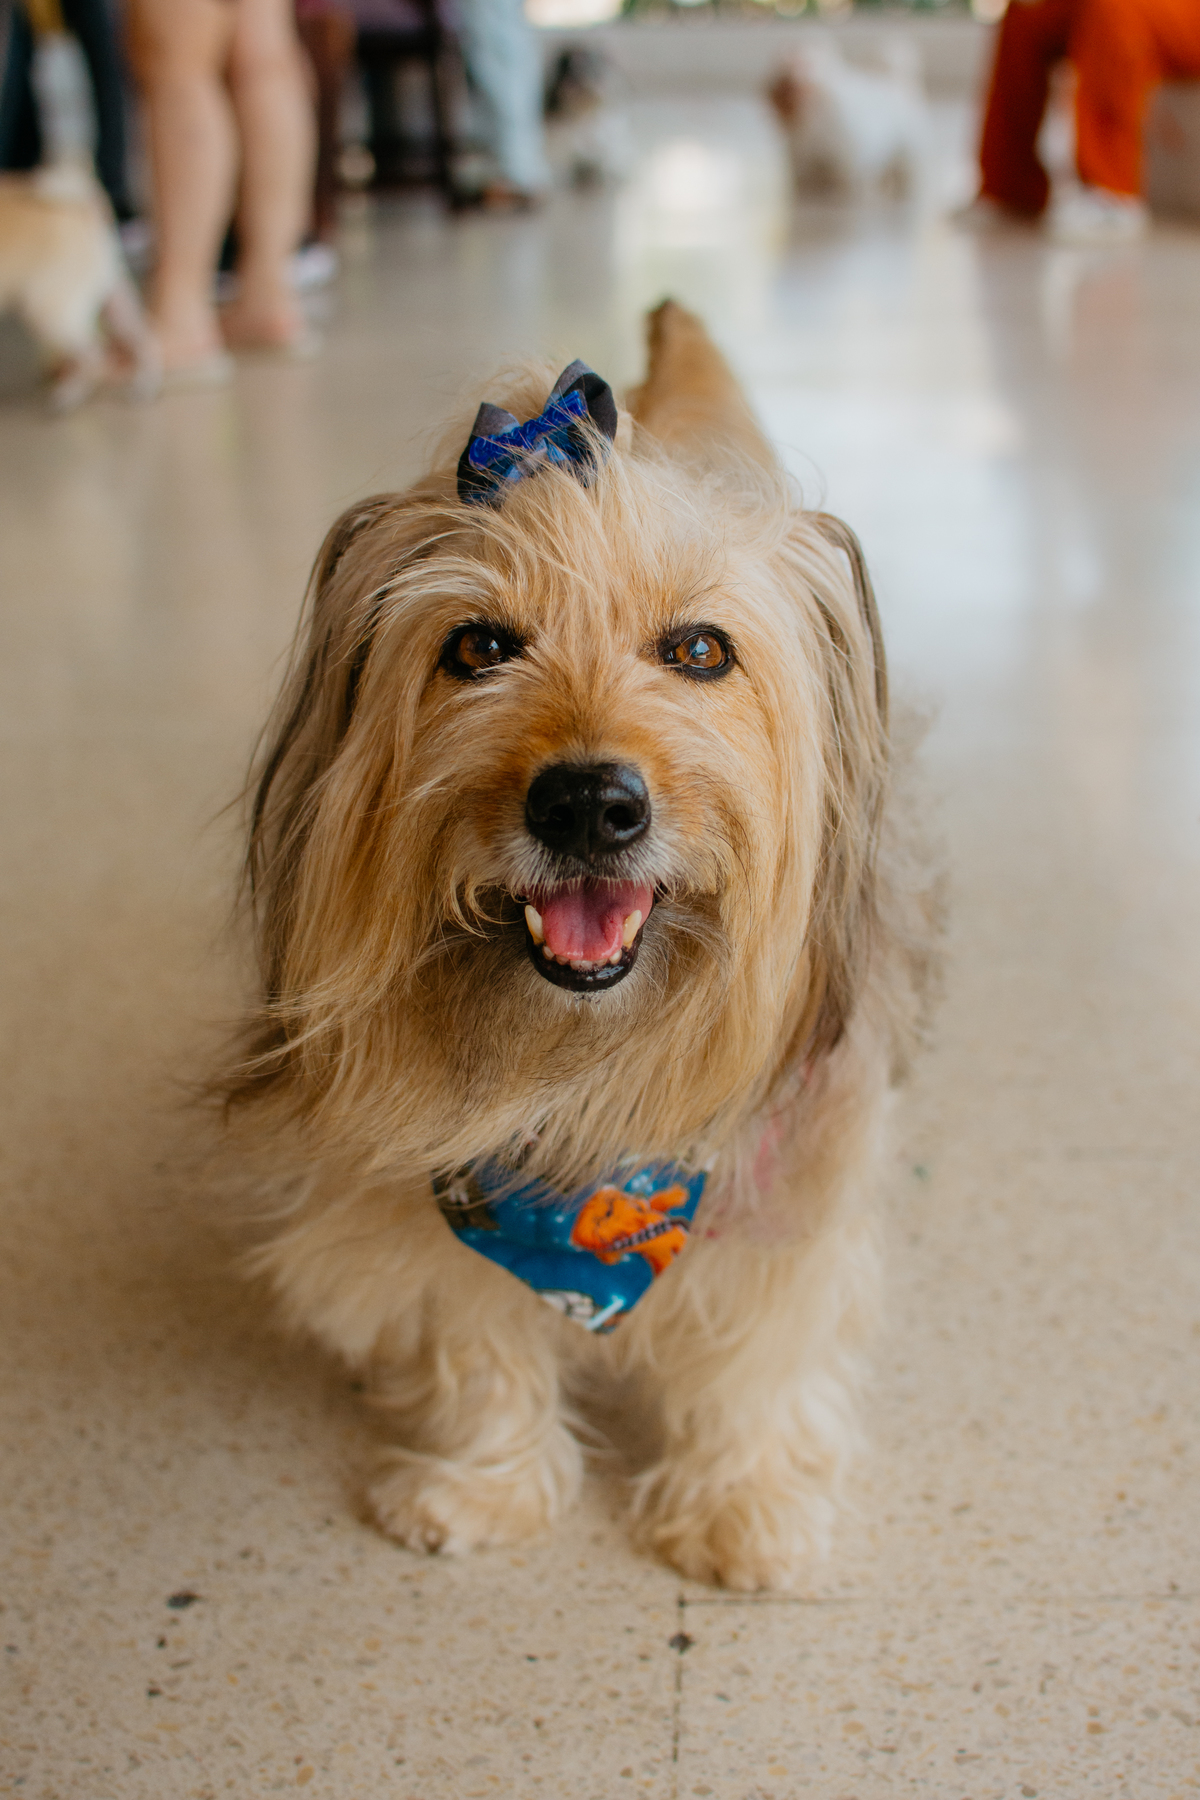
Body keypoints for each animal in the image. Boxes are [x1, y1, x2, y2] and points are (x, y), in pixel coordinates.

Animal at [0, 164, 159, 410]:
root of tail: (80, 206)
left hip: (50, 311)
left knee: (94, 356)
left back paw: (69, 394)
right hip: (114, 298)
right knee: (142, 336)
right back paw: (144, 383)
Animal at [222, 301, 930, 1591]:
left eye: (700, 650)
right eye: (478, 647)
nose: (589, 803)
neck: (586, 1097)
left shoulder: (792, 1187)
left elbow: (759, 1353)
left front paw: (741, 1501)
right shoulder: (427, 1191)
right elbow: (474, 1338)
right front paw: (485, 1484)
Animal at [768, 35, 930, 201]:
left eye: (807, 63)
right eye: (782, 68)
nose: (793, 68)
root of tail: (897, 81)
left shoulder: (846, 154)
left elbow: (845, 178)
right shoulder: (803, 154)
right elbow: (805, 174)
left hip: (906, 151)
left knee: (904, 171)